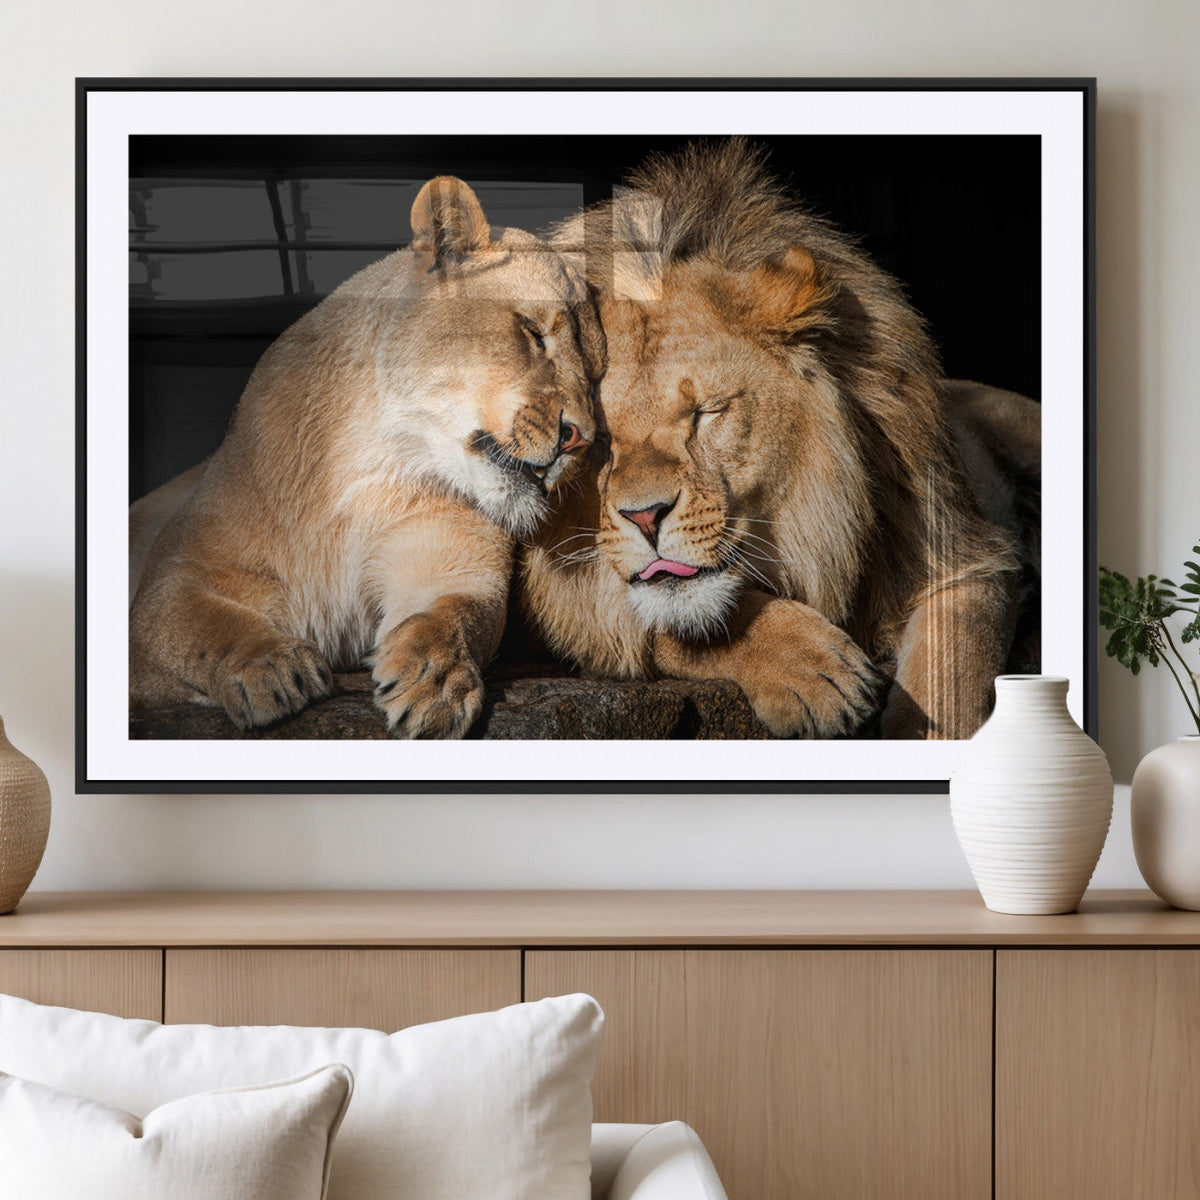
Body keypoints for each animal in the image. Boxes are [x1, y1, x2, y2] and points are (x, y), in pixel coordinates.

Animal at [129, 175, 604, 738]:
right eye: (533, 332)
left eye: (597, 377)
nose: (581, 439)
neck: (373, 464)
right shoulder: (174, 579)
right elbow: (202, 626)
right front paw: (270, 666)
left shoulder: (453, 563)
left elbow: (455, 616)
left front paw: (435, 681)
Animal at [520, 140, 1039, 740]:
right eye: (599, 439)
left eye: (707, 412)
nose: (645, 517)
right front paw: (813, 670)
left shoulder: (966, 552)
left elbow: (950, 679)